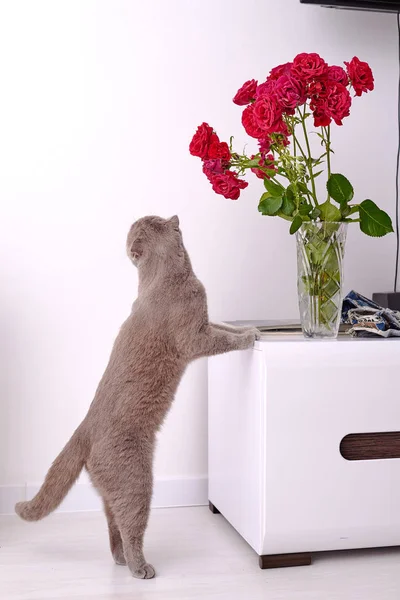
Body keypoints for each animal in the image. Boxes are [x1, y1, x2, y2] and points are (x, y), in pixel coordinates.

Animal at [14, 214, 260, 576]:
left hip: (111, 491)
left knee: (112, 523)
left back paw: (120, 559)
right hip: (136, 480)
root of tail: (84, 428)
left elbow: (227, 327)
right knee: (130, 524)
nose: (172, 216)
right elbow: (224, 339)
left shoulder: (206, 322)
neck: (161, 281)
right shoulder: (195, 337)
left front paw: (250, 328)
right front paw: (249, 337)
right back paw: (140, 567)